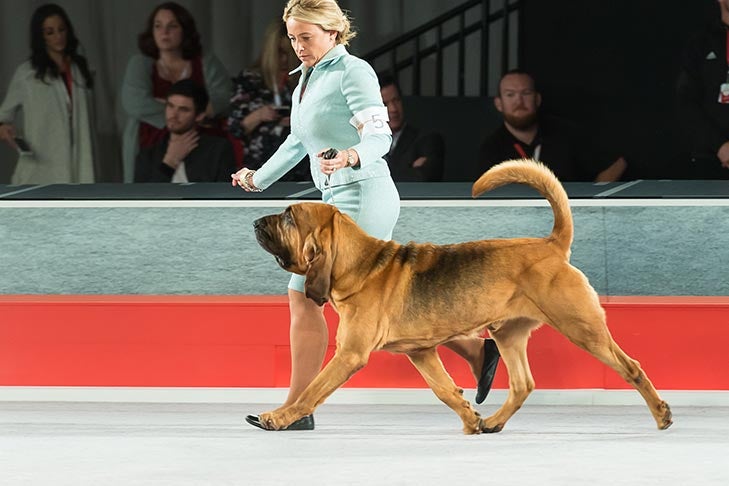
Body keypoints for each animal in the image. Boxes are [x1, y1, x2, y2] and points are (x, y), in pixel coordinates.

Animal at [253, 159, 672, 432]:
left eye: (289, 217)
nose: (256, 222)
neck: (359, 265)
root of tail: (552, 245)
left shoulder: (349, 355)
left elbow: (312, 390)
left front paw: (279, 417)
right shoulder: (421, 352)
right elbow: (445, 391)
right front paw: (470, 418)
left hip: (582, 329)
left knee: (631, 366)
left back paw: (661, 414)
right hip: (507, 334)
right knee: (522, 385)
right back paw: (493, 422)